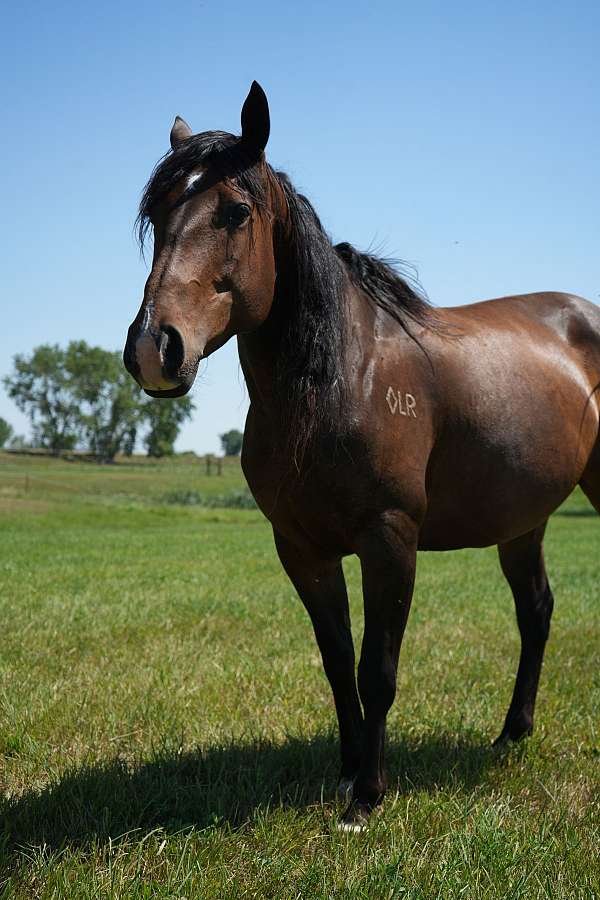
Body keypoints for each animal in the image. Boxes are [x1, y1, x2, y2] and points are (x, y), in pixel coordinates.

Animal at [123, 82, 600, 830]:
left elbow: (378, 669)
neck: (345, 379)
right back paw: (510, 736)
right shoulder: (303, 549)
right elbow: (336, 662)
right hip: (522, 522)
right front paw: (347, 771)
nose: (154, 348)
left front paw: (369, 795)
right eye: (158, 213)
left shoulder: (389, 540)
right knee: (537, 610)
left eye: (235, 212)